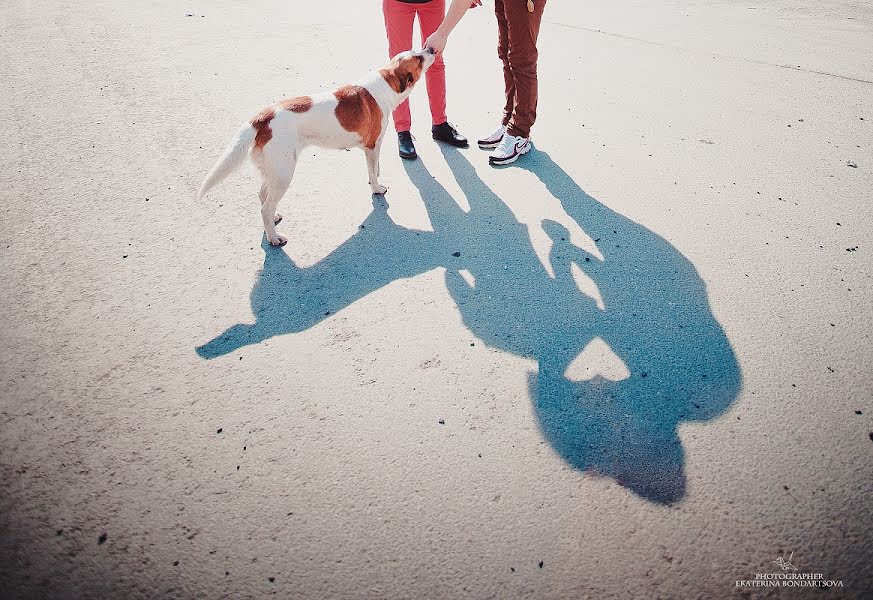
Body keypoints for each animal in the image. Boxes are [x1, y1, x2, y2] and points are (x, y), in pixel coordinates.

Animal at [194, 49, 432, 246]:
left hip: (274, 170)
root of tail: (263, 117)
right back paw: (274, 238)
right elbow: (373, 172)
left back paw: (273, 220)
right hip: (284, 173)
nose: (430, 48)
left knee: (262, 196)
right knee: (264, 207)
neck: (385, 83)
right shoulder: (373, 145)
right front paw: (377, 188)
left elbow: (374, 169)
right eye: (418, 59)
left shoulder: (370, 148)